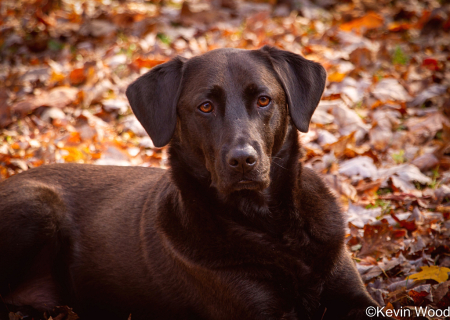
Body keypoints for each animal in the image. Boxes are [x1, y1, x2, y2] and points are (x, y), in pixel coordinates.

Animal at [0, 46, 384, 318]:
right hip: (38, 203)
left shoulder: (353, 295)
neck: (270, 224)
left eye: (264, 100)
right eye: (205, 107)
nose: (243, 160)